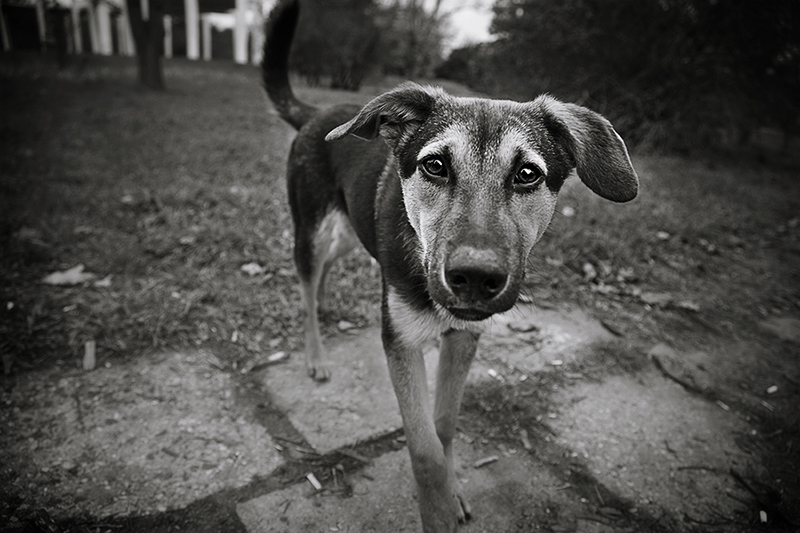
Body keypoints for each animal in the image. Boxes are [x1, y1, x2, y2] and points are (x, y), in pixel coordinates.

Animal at [266, 2, 640, 528]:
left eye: (528, 174)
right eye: (434, 166)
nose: (475, 278)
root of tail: (318, 112)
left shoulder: (463, 338)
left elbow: (443, 426)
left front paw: (452, 488)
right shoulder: (400, 342)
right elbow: (423, 446)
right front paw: (437, 511)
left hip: (345, 233)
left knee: (321, 278)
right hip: (313, 230)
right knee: (304, 284)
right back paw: (316, 354)